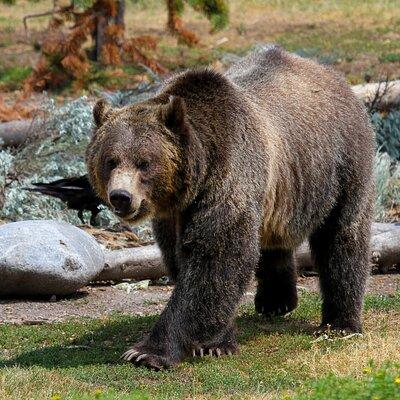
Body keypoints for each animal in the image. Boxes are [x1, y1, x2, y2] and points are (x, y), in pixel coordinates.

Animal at [86, 45, 376, 370]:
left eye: (144, 162)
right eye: (110, 160)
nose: (121, 196)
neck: (195, 177)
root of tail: (338, 79)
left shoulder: (230, 175)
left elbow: (216, 256)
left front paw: (148, 351)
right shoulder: (173, 213)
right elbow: (188, 263)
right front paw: (216, 342)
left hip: (340, 163)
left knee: (342, 237)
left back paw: (340, 323)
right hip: (282, 190)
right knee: (272, 241)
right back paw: (276, 301)